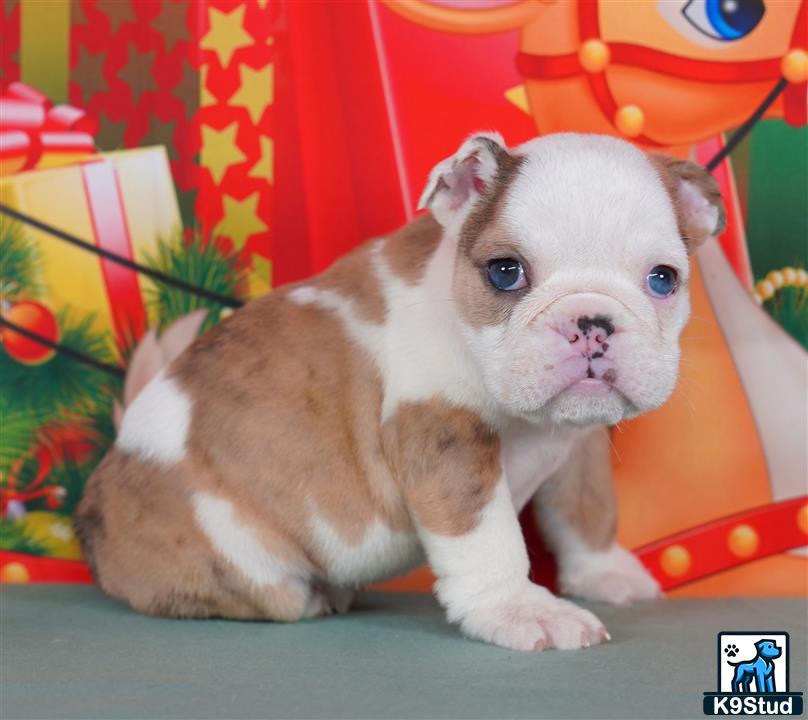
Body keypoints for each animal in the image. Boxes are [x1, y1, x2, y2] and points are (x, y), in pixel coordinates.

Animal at [76, 131, 724, 652]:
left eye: (662, 279)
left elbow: (587, 507)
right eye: (505, 271)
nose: (591, 321)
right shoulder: (442, 435)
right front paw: (519, 608)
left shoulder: (578, 441)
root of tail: (95, 502)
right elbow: (488, 537)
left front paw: (604, 574)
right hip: (237, 552)